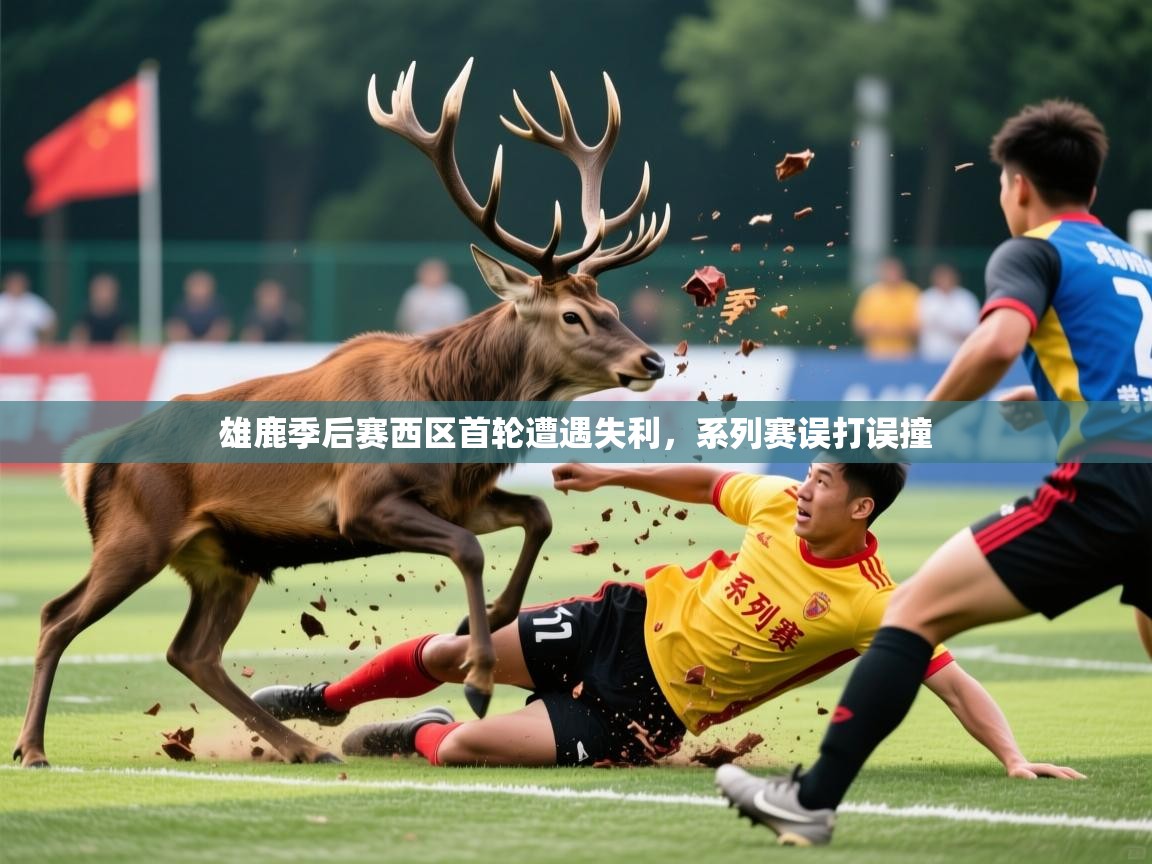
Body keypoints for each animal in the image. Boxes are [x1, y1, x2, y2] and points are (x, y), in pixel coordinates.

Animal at [13, 57, 670, 768]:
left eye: (612, 308)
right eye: (573, 316)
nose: (653, 361)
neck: (444, 410)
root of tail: (88, 459)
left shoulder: (458, 496)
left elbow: (539, 514)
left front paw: (485, 621)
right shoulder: (363, 501)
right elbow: (469, 550)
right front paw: (477, 677)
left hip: (225, 559)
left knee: (191, 652)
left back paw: (302, 746)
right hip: (136, 534)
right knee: (57, 616)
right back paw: (33, 748)